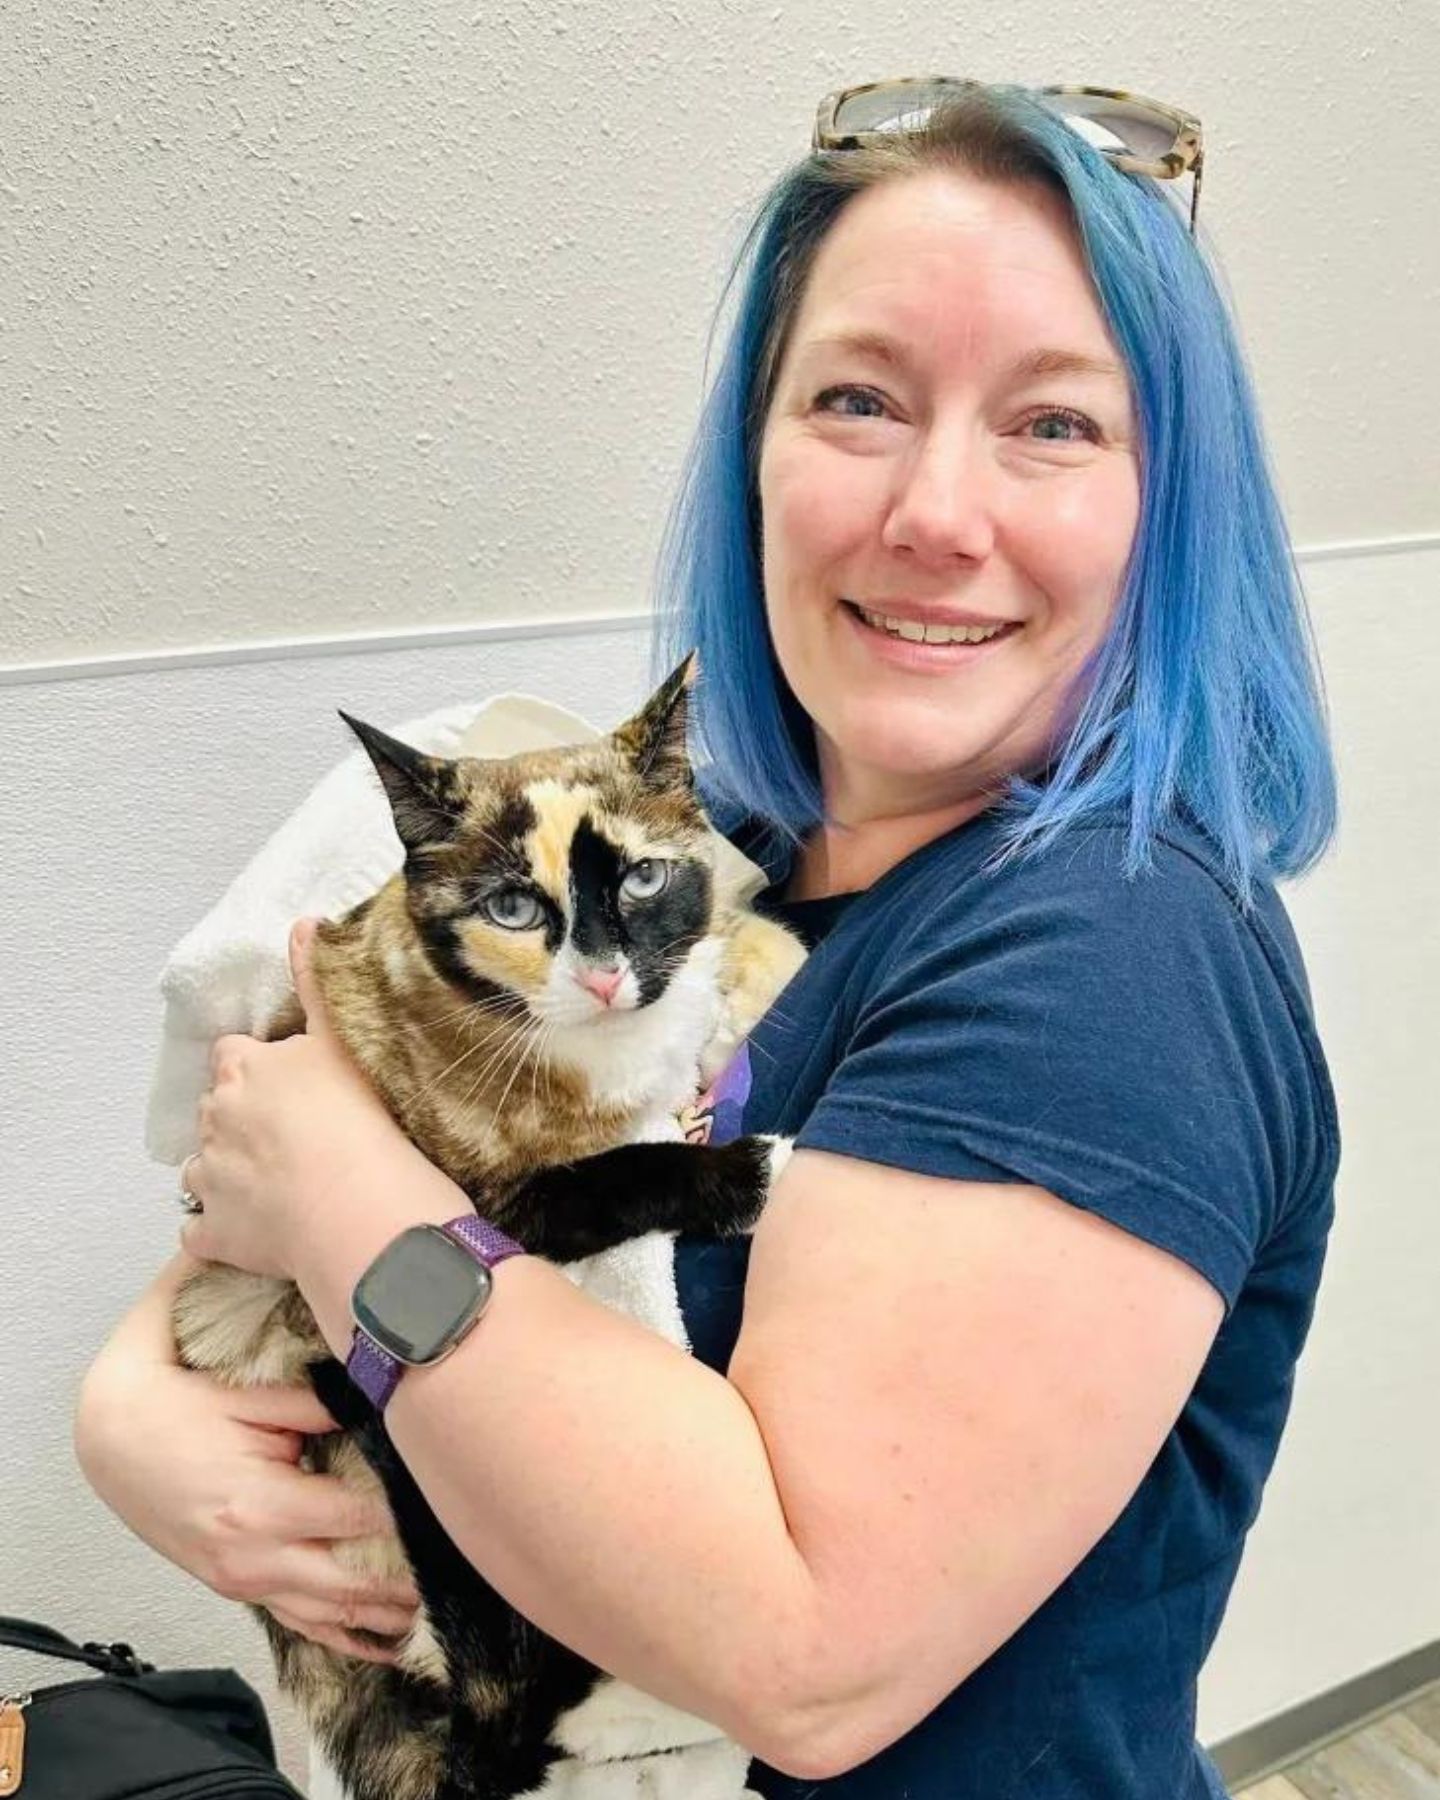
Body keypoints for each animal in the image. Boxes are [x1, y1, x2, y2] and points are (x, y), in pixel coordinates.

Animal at [170, 669, 810, 1800]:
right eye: (514, 907)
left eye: (642, 878)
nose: (601, 975)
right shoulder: (491, 1199)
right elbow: (622, 1168)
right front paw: (744, 1173)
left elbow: (734, 957)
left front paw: (762, 965)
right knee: (513, 1707)